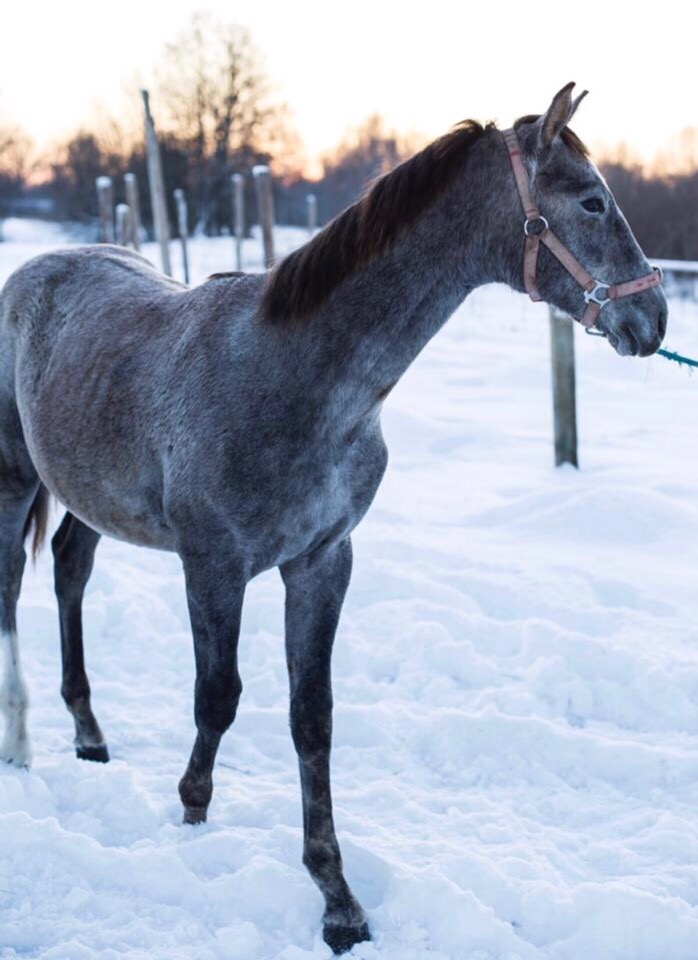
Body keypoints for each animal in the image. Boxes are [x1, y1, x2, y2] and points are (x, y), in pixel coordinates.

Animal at [0, 84, 667, 953]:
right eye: (591, 200)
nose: (654, 321)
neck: (291, 375)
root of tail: (38, 270)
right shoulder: (213, 565)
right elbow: (218, 695)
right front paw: (193, 812)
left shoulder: (322, 561)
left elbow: (310, 716)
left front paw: (337, 898)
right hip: (14, 477)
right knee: (10, 590)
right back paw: (19, 746)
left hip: (88, 493)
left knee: (70, 570)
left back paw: (87, 732)